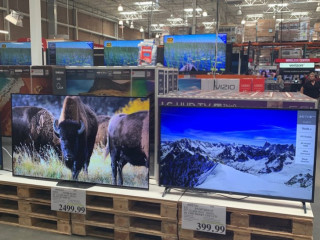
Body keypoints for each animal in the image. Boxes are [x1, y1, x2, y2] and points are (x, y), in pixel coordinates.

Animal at [10, 93, 149, 188]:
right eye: (62, 138)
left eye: (75, 138)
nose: (68, 156)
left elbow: (78, 165)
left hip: (94, 147)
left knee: (90, 162)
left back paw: (86, 175)